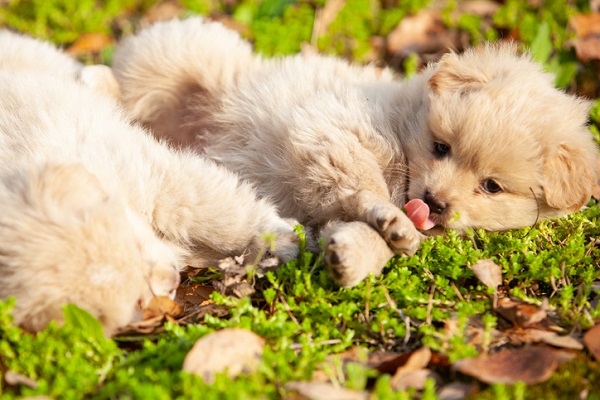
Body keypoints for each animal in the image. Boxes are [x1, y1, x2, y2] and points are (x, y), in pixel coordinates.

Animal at [0, 30, 298, 334]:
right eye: (138, 301)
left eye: (136, 246)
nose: (175, 279)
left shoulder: (154, 176)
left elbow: (220, 217)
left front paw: (276, 238)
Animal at [113, 18, 600, 288]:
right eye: (441, 147)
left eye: (492, 187)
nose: (435, 202)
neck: (401, 118)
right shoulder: (334, 137)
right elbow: (367, 188)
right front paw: (389, 217)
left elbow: (376, 234)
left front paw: (356, 254)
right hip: (174, 61)